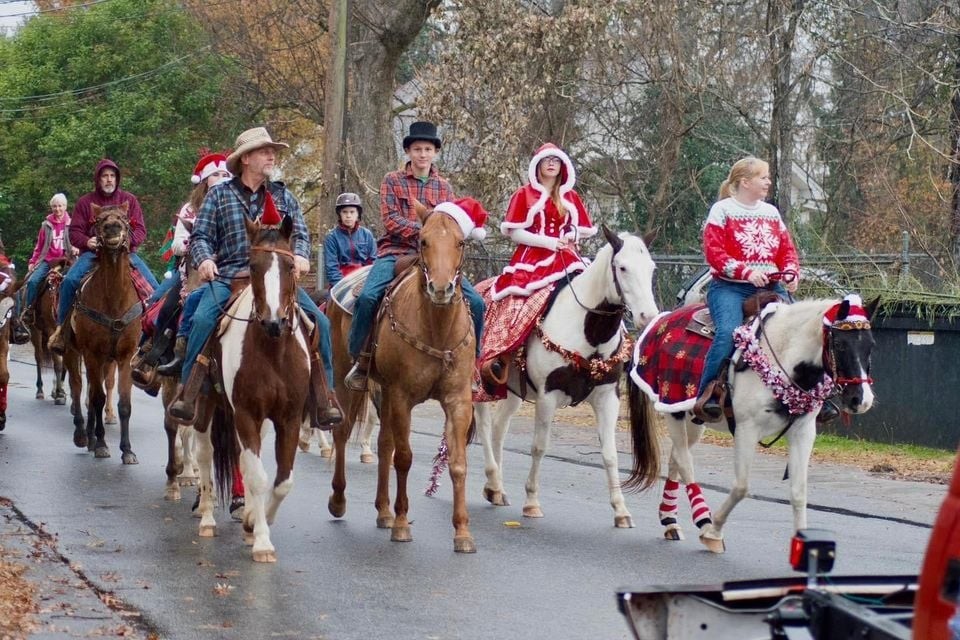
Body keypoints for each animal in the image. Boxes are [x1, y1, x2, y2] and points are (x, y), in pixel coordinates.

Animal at [64, 202, 146, 462]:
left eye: (125, 218)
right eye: (99, 220)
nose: (112, 228)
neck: (114, 301)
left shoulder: (125, 357)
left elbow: (124, 404)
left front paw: (127, 450)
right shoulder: (92, 354)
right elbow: (97, 398)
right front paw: (101, 444)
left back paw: (90, 436)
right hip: (73, 352)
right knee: (79, 387)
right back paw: (83, 435)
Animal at [193, 214, 314, 560]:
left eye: (290, 265)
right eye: (254, 265)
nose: (274, 322)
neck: (272, 350)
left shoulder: (288, 418)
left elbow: (282, 480)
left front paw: (252, 522)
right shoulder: (246, 413)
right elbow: (259, 476)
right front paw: (261, 540)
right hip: (206, 406)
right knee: (204, 454)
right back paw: (207, 518)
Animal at [328, 202, 478, 552]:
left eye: (460, 242)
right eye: (423, 241)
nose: (441, 288)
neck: (437, 327)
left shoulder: (458, 400)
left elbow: (458, 463)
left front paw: (462, 532)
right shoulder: (402, 396)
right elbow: (405, 458)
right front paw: (401, 524)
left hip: (382, 391)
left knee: (383, 445)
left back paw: (383, 510)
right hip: (345, 376)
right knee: (342, 431)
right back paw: (339, 501)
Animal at [472, 228, 660, 528]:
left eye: (651, 268)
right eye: (622, 268)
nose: (647, 316)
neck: (589, 332)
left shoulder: (608, 397)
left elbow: (610, 454)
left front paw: (621, 510)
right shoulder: (548, 396)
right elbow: (539, 447)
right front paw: (532, 502)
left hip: (512, 391)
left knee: (500, 427)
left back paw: (497, 489)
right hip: (480, 382)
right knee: (485, 424)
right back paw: (492, 480)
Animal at [628, 296, 880, 552]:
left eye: (871, 345)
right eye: (839, 345)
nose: (861, 400)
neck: (783, 358)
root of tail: (663, 318)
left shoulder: (803, 432)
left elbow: (799, 493)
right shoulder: (746, 429)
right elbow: (741, 487)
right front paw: (713, 531)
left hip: (693, 420)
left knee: (677, 459)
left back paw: (670, 520)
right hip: (673, 410)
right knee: (685, 462)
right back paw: (702, 518)